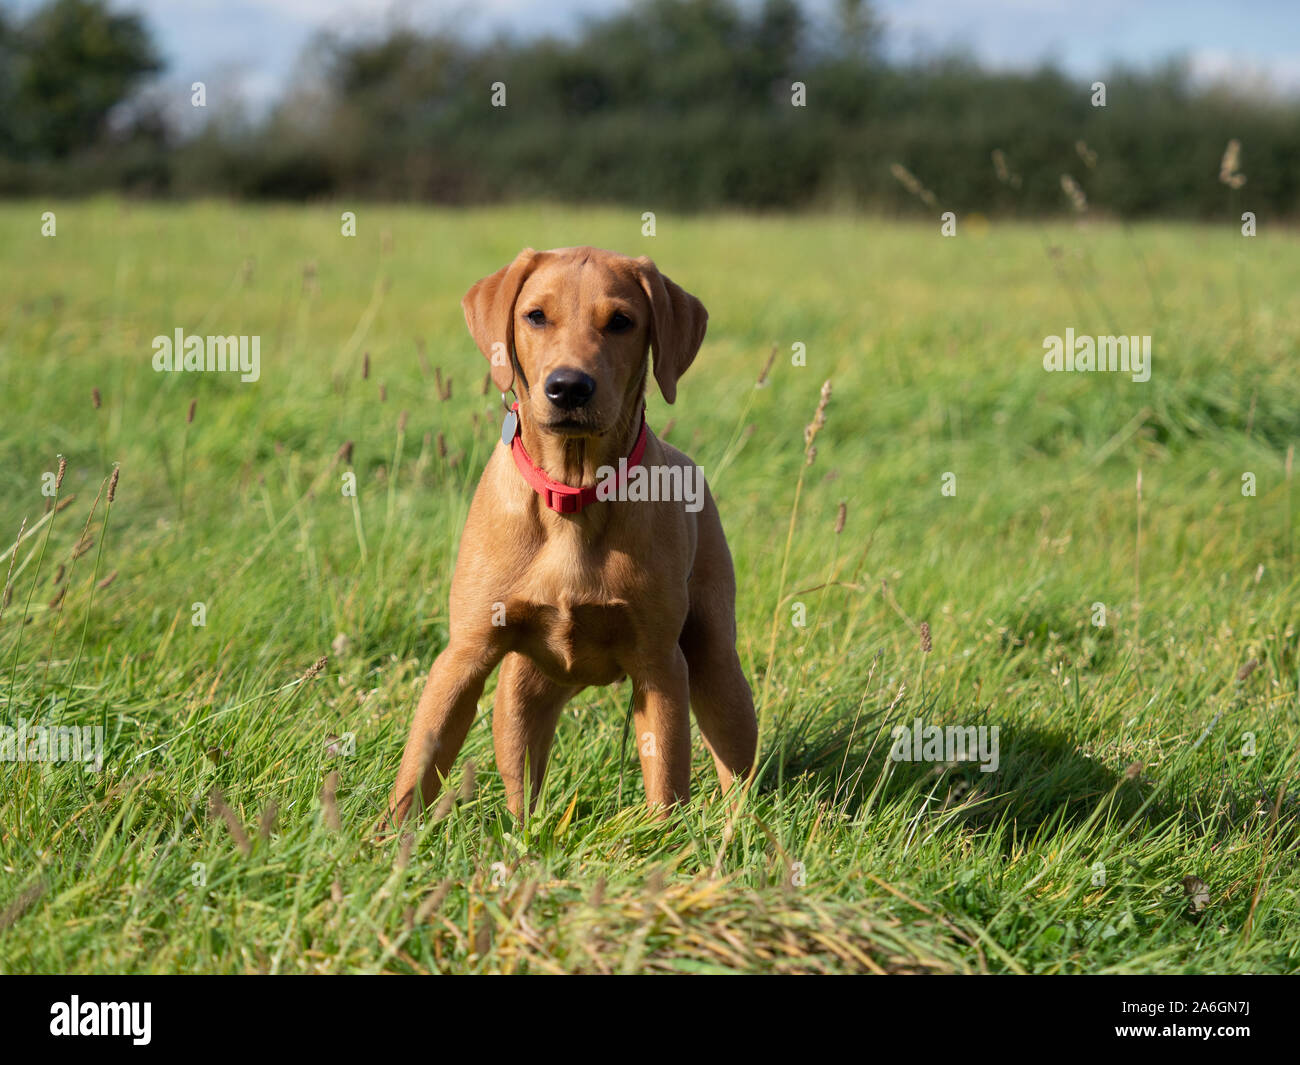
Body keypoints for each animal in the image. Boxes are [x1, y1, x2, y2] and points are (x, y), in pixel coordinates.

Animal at [379, 248, 759, 827]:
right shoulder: (463, 655)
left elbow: (667, 778)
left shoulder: (660, 664)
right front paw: (383, 838)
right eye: (536, 316)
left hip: (716, 663)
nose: (568, 387)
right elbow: (419, 763)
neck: (572, 494)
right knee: (522, 786)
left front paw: (660, 843)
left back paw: (737, 835)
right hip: (521, 695)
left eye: (621, 321)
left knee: (735, 770)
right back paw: (526, 831)